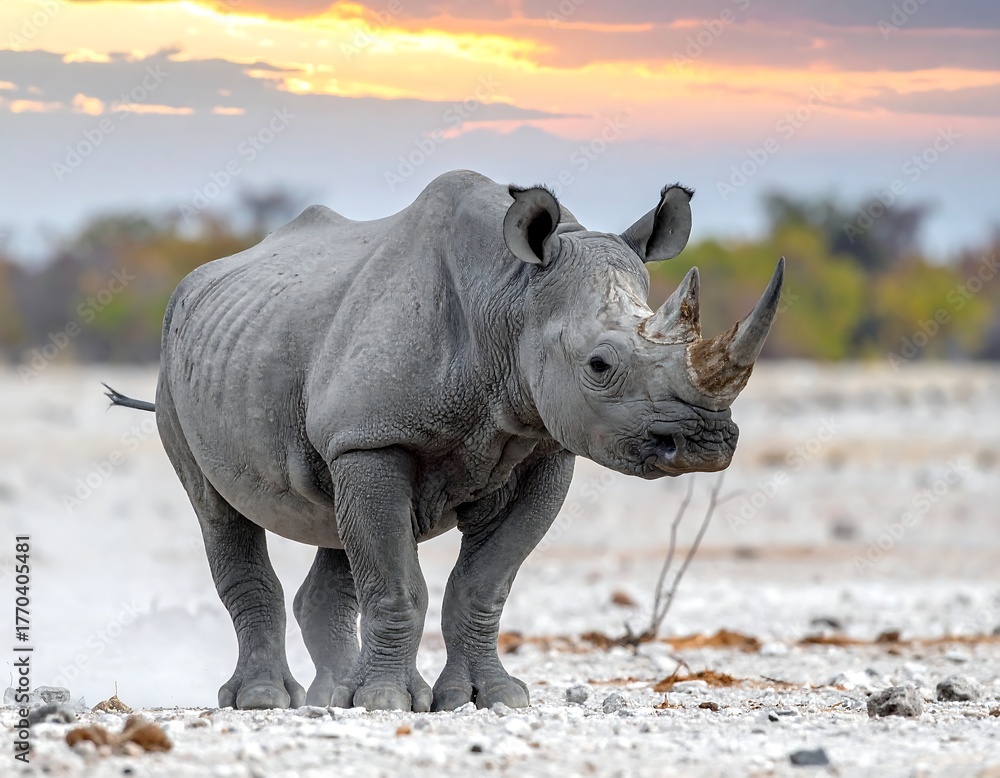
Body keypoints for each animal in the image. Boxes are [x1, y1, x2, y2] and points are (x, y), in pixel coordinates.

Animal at [105, 170, 783, 712]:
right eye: (599, 365)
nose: (704, 442)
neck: (510, 297)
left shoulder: (544, 450)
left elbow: (482, 584)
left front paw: (488, 698)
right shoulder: (374, 441)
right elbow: (396, 582)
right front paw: (384, 701)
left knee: (334, 525)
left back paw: (329, 697)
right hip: (177, 373)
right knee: (219, 511)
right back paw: (266, 700)